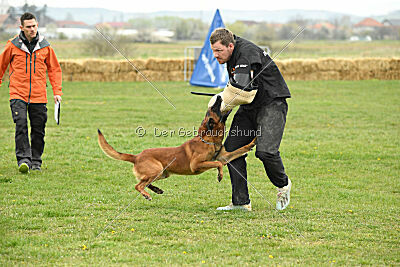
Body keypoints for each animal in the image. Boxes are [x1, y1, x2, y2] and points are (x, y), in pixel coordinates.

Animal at [99, 96, 256, 201]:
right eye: (213, 108)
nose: (218, 96)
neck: (208, 140)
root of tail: (137, 156)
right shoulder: (196, 165)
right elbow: (217, 163)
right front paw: (220, 175)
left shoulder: (224, 157)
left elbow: (239, 150)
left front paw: (253, 142)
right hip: (157, 170)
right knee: (138, 185)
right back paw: (147, 195)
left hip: (162, 173)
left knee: (144, 183)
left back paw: (156, 190)